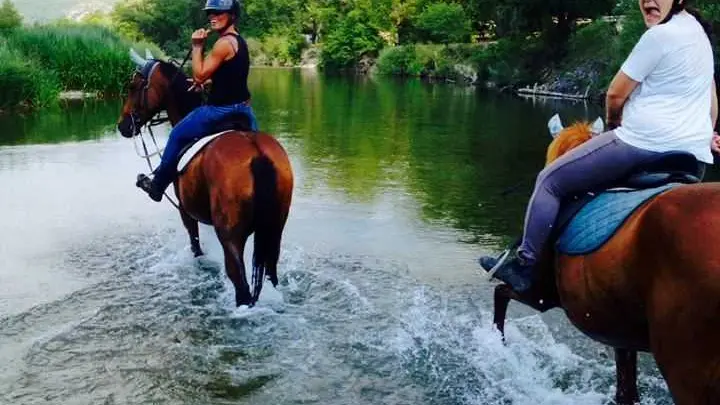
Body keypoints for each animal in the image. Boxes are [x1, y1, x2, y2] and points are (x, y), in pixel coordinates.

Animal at [116, 54, 292, 306]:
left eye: (133, 87)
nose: (123, 125)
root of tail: (257, 154)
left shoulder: (185, 211)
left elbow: (195, 245)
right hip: (274, 230)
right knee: (270, 271)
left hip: (230, 237)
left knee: (239, 282)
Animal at [492, 117, 720, 404]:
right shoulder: (622, 335)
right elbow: (626, 391)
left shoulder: (540, 295)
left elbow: (501, 293)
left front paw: (497, 343)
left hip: (687, 371)